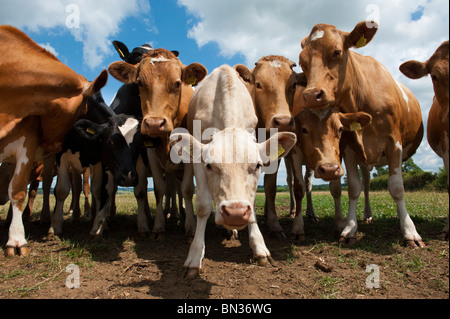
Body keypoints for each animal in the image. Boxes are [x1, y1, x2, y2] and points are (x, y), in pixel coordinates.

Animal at [109, 48, 207, 240]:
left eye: (177, 83)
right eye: (139, 83)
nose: (154, 123)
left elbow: (186, 189)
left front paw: (190, 226)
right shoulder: (151, 154)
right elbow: (158, 190)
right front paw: (158, 226)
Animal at [171, 65, 298, 280]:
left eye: (257, 165)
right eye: (210, 166)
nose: (235, 213)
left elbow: (252, 201)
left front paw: (259, 247)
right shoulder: (199, 160)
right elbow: (203, 205)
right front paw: (195, 257)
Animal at [298, 21, 426, 249]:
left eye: (337, 52)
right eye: (301, 61)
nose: (312, 95)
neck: (363, 97)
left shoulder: (394, 144)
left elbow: (397, 187)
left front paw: (410, 232)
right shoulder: (349, 147)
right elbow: (353, 187)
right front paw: (350, 229)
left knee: (369, 182)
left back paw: (372, 215)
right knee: (362, 181)